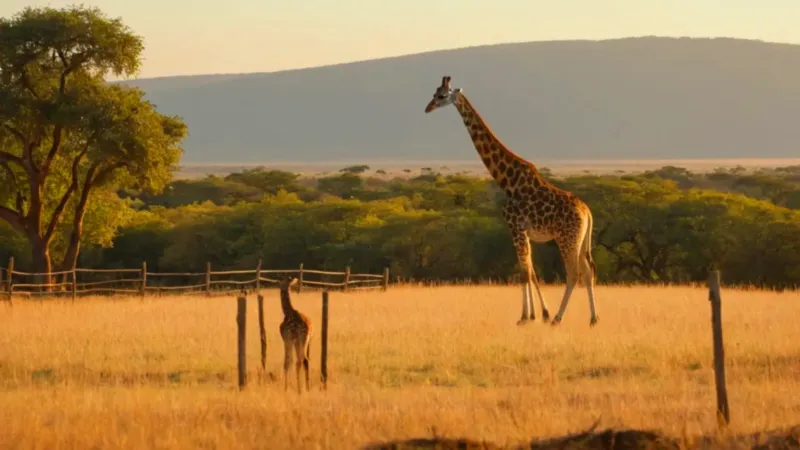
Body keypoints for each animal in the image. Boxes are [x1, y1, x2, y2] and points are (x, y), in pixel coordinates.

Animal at [424, 76, 599, 327]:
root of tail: (587, 212)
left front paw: (529, 316)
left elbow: (525, 272)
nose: (428, 108)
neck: (507, 180)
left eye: (441, 95)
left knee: (574, 272)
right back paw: (593, 318)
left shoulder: (515, 226)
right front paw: (534, 314)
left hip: (566, 238)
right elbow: (529, 270)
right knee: (588, 270)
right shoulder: (522, 231)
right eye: (435, 92)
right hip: (583, 240)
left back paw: (557, 318)